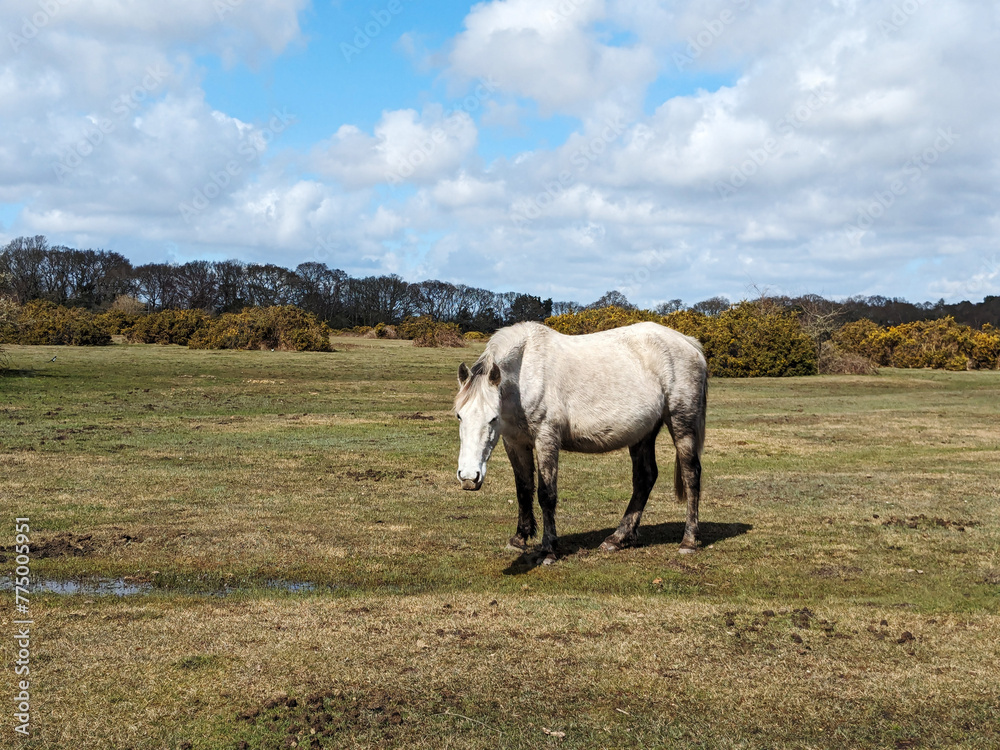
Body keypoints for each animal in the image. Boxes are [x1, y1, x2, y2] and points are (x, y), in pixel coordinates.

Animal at [453, 321, 708, 564]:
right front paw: (519, 538)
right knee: (645, 478)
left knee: (691, 475)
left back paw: (688, 540)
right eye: (459, 416)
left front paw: (548, 550)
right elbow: (523, 488)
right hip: (643, 433)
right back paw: (618, 538)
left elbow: (546, 494)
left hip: (681, 425)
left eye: (493, 418)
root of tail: (690, 343)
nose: (469, 478)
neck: (526, 371)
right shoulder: (514, 442)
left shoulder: (546, 439)